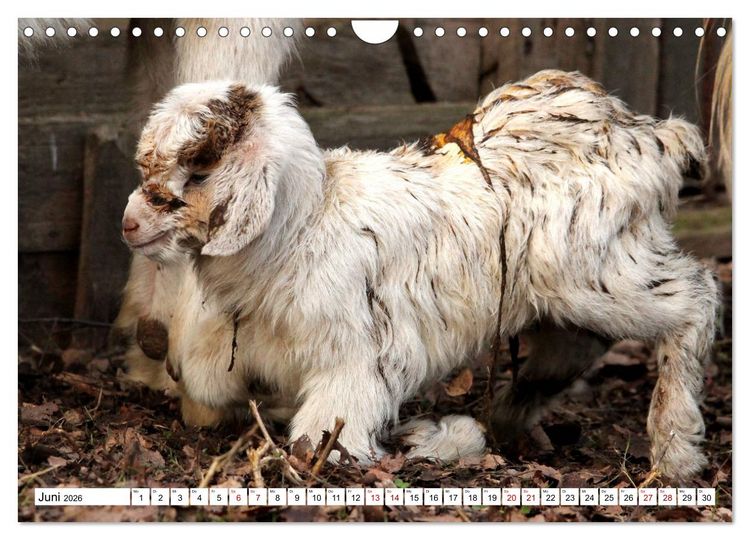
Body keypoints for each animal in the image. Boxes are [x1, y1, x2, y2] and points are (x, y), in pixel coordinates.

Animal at [121, 70, 719, 481]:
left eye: (200, 172)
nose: (129, 224)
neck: (306, 224)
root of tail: (654, 135)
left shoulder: (360, 358)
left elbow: (324, 431)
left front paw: (416, 441)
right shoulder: (248, 334)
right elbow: (202, 376)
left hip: (597, 267)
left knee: (697, 297)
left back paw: (676, 450)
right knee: (579, 342)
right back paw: (510, 416)